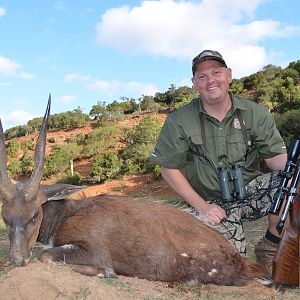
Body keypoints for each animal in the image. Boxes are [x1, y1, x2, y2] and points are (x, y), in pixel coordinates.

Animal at [0, 98, 268, 286]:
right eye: (5, 217)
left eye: (34, 215)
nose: (17, 259)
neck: (67, 214)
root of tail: (241, 261)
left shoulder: (94, 250)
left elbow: (47, 256)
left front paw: (107, 273)